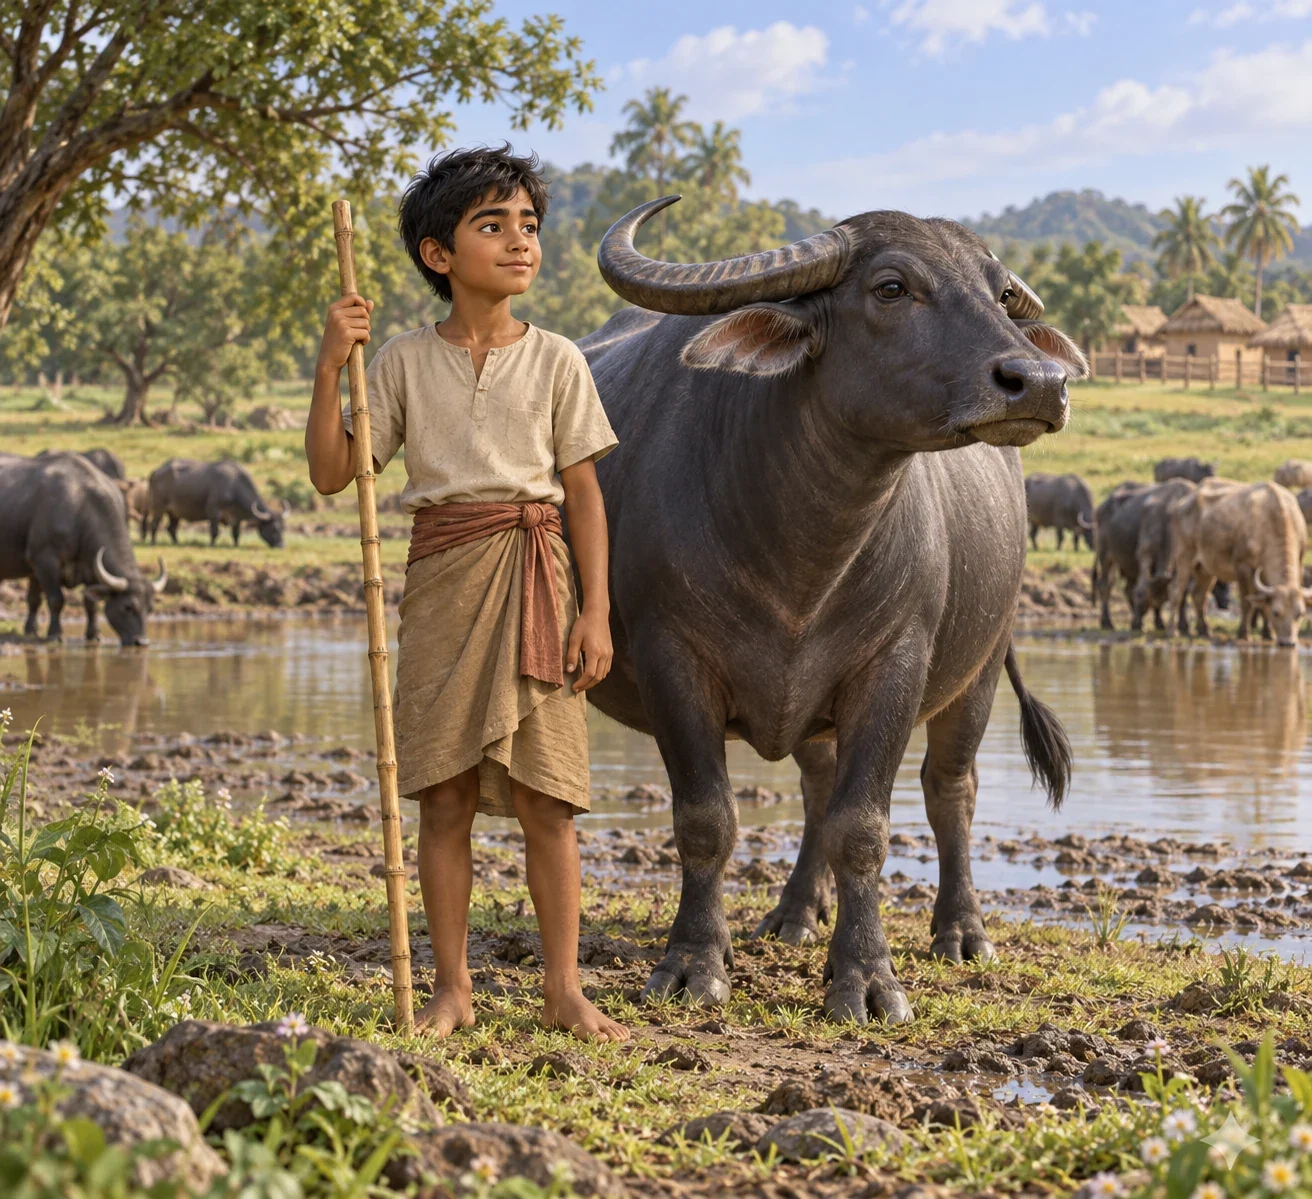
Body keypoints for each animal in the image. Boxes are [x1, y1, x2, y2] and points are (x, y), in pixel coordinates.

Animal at [0, 453, 165, 645]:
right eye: (128, 607)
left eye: (150, 608)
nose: (142, 642)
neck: (81, 506)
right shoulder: (44, 560)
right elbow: (56, 600)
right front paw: (55, 633)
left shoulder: (87, 567)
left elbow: (87, 603)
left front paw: (93, 634)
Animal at [146, 459, 285, 547]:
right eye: (274, 528)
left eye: (283, 528)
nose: (281, 545)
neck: (233, 485)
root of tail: (157, 471)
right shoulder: (213, 511)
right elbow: (215, 531)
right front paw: (211, 544)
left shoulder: (237, 517)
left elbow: (236, 533)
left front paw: (236, 545)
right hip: (158, 507)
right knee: (154, 524)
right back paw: (153, 542)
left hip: (174, 513)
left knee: (171, 529)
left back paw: (176, 543)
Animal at [577, 197, 1082, 1023]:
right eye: (890, 287)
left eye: (1000, 292)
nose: (1037, 381)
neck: (801, 552)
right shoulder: (668, 656)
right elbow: (706, 819)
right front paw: (693, 963)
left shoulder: (896, 662)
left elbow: (863, 827)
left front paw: (867, 979)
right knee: (817, 787)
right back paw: (793, 914)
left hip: (979, 665)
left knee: (951, 790)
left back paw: (961, 932)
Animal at [1168, 479, 1310, 645]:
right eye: (1277, 613)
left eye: (1300, 614)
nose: (1288, 643)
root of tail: (1182, 503)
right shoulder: (1243, 567)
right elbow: (1247, 603)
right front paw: (1243, 633)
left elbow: (1262, 605)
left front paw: (1268, 633)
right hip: (1184, 557)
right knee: (1176, 591)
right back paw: (1173, 630)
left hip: (1205, 568)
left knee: (1199, 594)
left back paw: (1204, 630)